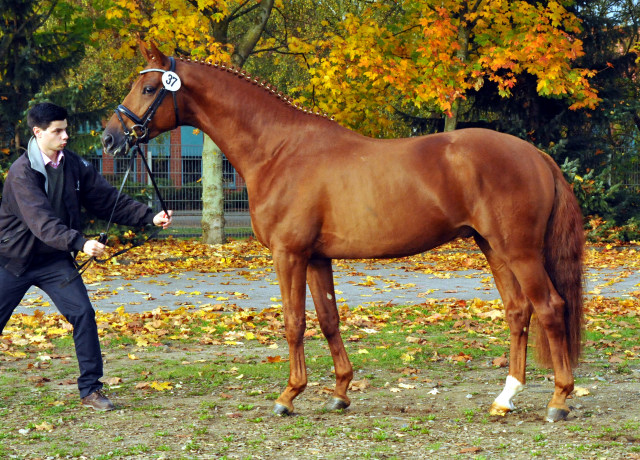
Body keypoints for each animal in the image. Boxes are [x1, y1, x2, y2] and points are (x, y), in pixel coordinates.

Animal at [104, 43, 584, 420]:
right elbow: (329, 319)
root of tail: (536, 155)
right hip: (493, 248)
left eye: (149, 89)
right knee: (518, 311)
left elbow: (294, 322)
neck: (279, 150)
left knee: (549, 307)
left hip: (519, 251)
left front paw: (288, 396)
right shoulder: (318, 257)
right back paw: (506, 397)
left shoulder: (289, 254)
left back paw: (559, 401)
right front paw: (339, 392)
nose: (111, 138)